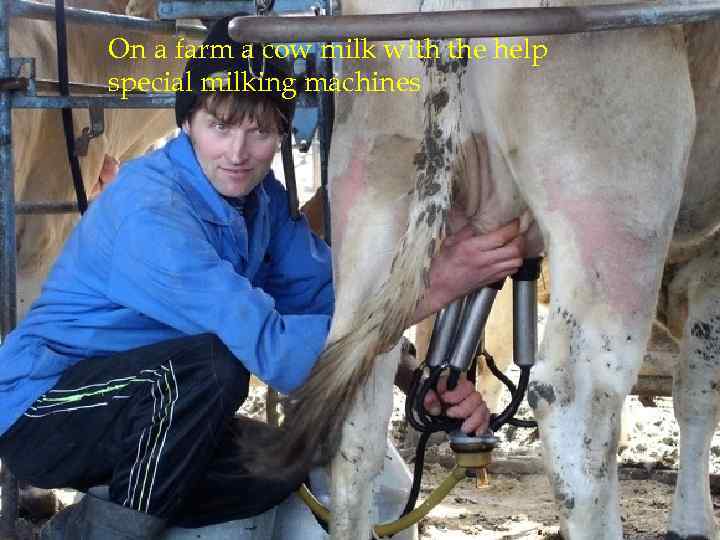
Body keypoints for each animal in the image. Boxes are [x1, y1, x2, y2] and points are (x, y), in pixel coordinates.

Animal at [252, 2, 720, 536]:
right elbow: (699, 389)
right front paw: (693, 522)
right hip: (618, 190)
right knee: (577, 407)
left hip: (371, 176)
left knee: (356, 403)